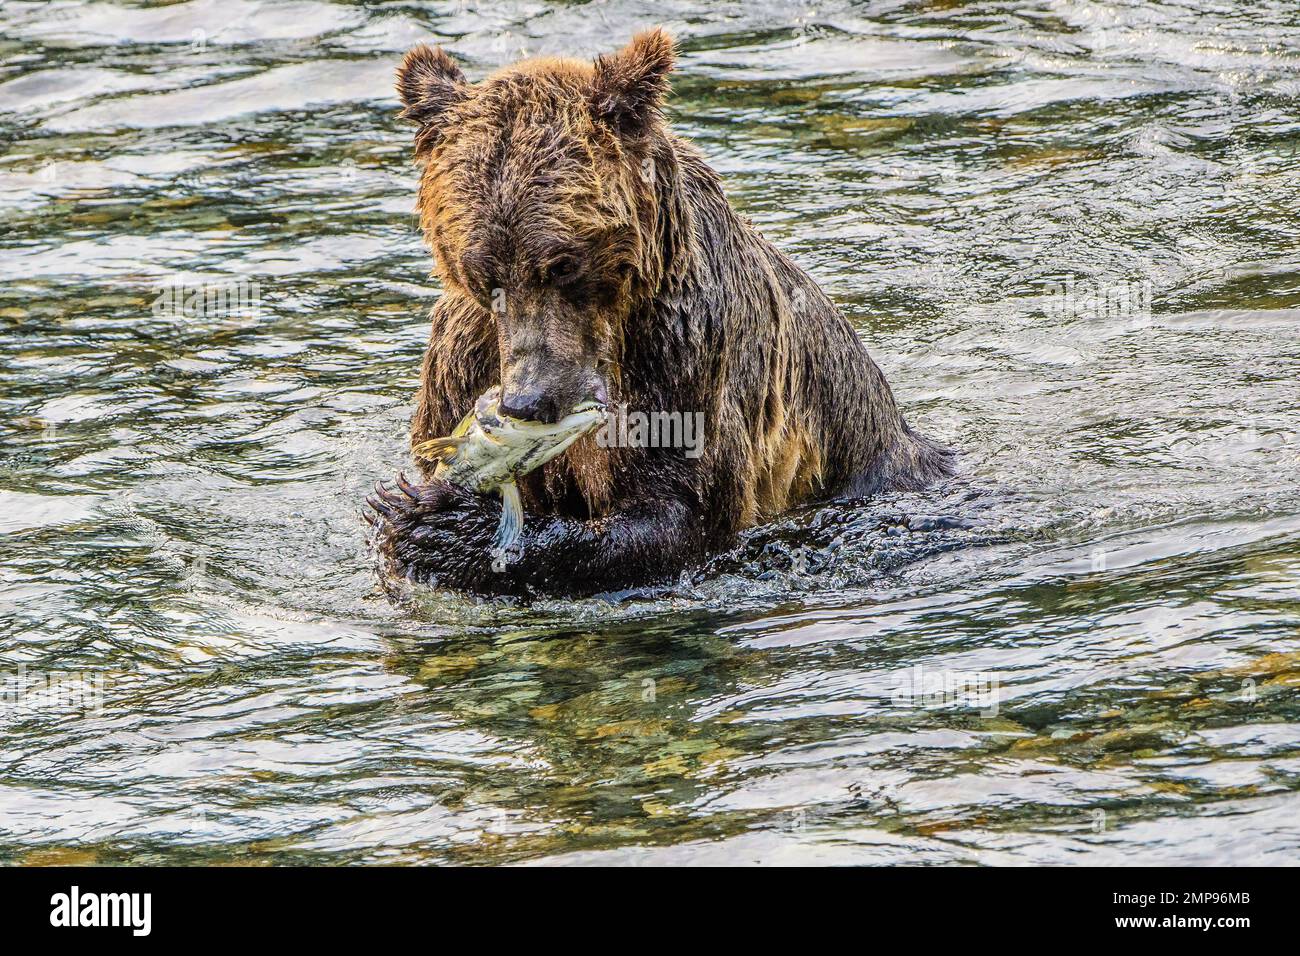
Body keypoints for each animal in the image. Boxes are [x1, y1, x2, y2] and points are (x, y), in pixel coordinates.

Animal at [369, 27, 956, 598]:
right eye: (482, 273)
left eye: (563, 264)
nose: (529, 401)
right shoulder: (464, 356)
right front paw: (414, 509)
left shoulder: (683, 353)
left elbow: (675, 510)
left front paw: (435, 523)